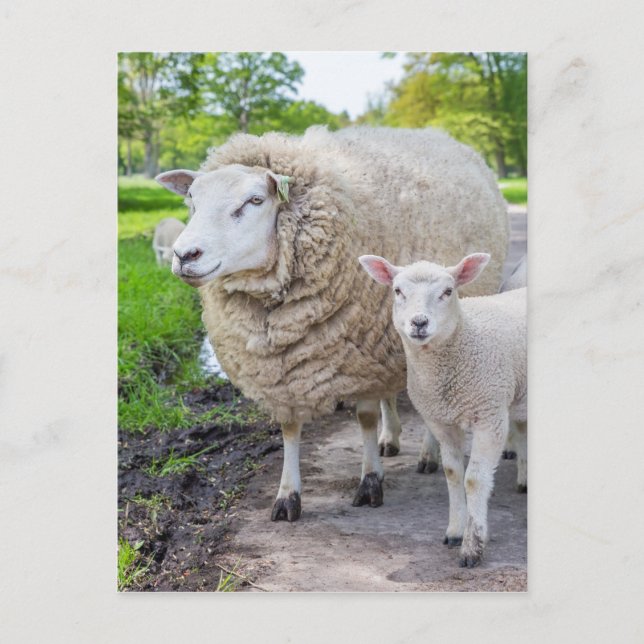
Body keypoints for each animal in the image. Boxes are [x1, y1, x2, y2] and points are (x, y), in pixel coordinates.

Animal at [155, 126, 509, 522]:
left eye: (255, 200)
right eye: (192, 201)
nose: (184, 255)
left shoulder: (364, 350)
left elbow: (366, 417)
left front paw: (369, 482)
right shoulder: (288, 369)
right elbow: (290, 428)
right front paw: (287, 496)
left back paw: (428, 453)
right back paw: (391, 438)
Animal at [359, 252, 526, 567]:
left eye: (448, 291)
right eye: (397, 291)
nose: (419, 322)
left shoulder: (489, 416)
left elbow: (474, 479)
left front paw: (473, 546)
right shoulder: (441, 420)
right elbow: (452, 473)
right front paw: (456, 531)